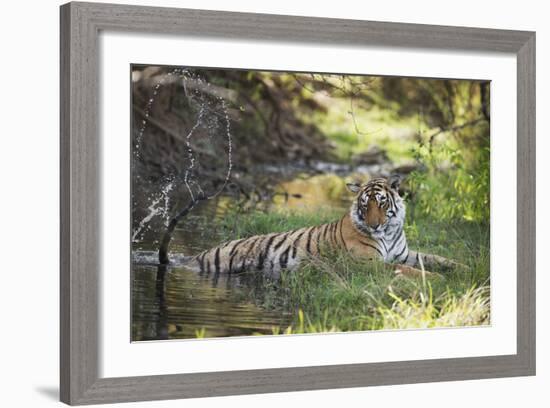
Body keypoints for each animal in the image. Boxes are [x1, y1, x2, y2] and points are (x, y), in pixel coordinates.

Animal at [177, 175, 462, 278]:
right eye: (365, 205)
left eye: (382, 202)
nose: (374, 224)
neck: (389, 232)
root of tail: (195, 256)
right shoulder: (368, 263)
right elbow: (406, 269)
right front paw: (436, 279)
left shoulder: (404, 253)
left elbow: (433, 258)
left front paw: (463, 268)